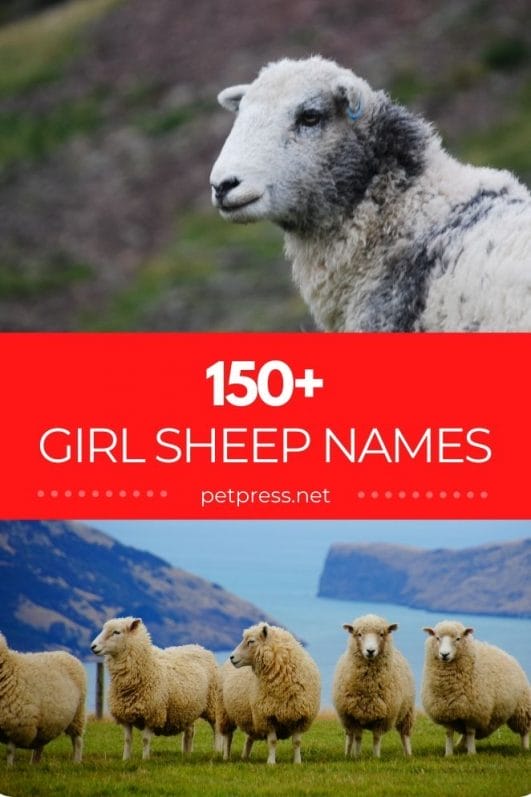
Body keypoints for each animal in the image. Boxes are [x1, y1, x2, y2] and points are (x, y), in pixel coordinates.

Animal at [0, 631, 86, 766]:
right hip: (45, 721)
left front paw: (9, 767)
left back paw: (76, 762)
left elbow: (9, 751)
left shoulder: (16, 723)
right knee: (39, 745)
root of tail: (66, 653)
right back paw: (34, 764)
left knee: (77, 740)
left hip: (78, 713)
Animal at [90, 617, 220, 760]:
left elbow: (146, 739)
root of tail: (199, 647)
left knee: (216, 729)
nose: (93, 646)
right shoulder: (125, 715)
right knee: (190, 732)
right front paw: (126, 759)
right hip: (188, 708)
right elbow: (127, 740)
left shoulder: (152, 713)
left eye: (116, 632)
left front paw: (145, 759)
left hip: (213, 703)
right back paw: (186, 754)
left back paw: (217, 751)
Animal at [222, 622, 320, 764]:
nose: (232, 657)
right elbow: (272, 741)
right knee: (228, 736)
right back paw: (226, 757)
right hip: (225, 712)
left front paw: (297, 762)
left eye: (251, 641)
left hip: (250, 716)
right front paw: (271, 762)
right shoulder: (267, 716)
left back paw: (245, 757)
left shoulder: (299, 715)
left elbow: (297, 742)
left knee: (249, 738)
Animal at [332, 614, 415, 758]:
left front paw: (376, 757)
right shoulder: (353, 716)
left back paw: (408, 754)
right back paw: (347, 754)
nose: (370, 651)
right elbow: (358, 738)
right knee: (349, 736)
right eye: (359, 634)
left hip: (407, 711)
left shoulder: (382, 717)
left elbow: (376, 738)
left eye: (381, 634)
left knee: (405, 735)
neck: (368, 685)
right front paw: (357, 756)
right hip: (346, 719)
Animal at [422, 621, 531, 755]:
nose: (444, 654)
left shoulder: (474, 711)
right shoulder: (446, 711)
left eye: (458, 638)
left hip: (521, 707)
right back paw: (460, 746)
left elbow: (470, 732)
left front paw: (471, 754)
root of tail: (507, 655)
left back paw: (525, 748)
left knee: (524, 731)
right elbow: (449, 733)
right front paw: (449, 754)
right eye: (437, 638)